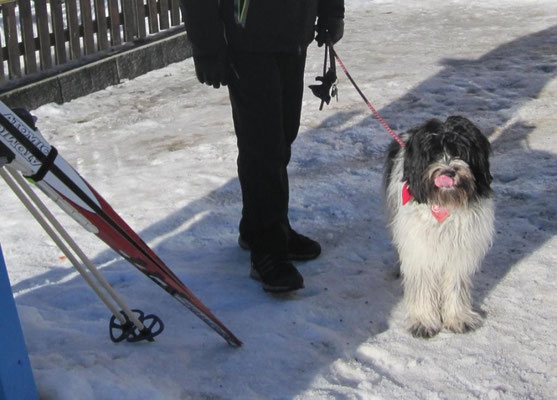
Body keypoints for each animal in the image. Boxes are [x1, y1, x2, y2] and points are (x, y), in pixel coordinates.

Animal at [382, 115, 496, 338]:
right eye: (433, 154)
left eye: (460, 151)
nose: (448, 171)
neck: (445, 205)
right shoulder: (420, 249)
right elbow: (423, 285)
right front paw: (423, 321)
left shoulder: (459, 252)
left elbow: (455, 285)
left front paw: (457, 318)